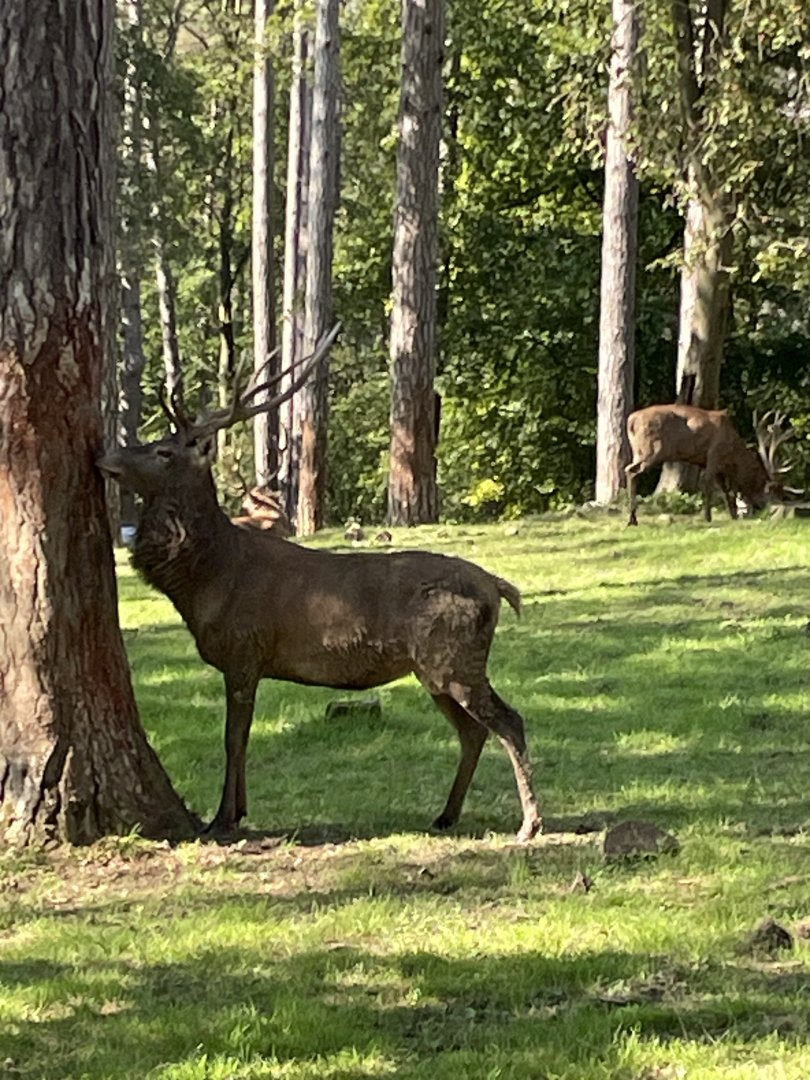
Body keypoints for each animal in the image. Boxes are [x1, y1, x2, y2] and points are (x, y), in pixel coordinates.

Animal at [97, 328, 541, 843]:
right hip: (433, 668)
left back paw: (530, 822)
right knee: (473, 731)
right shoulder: (248, 661)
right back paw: (446, 815)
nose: (105, 457)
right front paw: (239, 809)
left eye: (164, 451)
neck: (208, 581)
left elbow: (233, 739)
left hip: (455, 658)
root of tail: (498, 587)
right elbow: (239, 739)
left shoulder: (244, 651)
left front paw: (221, 819)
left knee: (509, 722)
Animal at [625, 404, 792, 526]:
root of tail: (631, 421)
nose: (776, 510)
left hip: (638, 451)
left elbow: (727, 491)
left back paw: (632, 517)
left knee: (629, 469)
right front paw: (708, 517)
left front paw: (733, 515)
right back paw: (632, 518)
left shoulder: (718, 467)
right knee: (631, 471)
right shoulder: (713, 455)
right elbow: (709, 486)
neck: (733, 455)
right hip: (652, 449)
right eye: (773, 491)